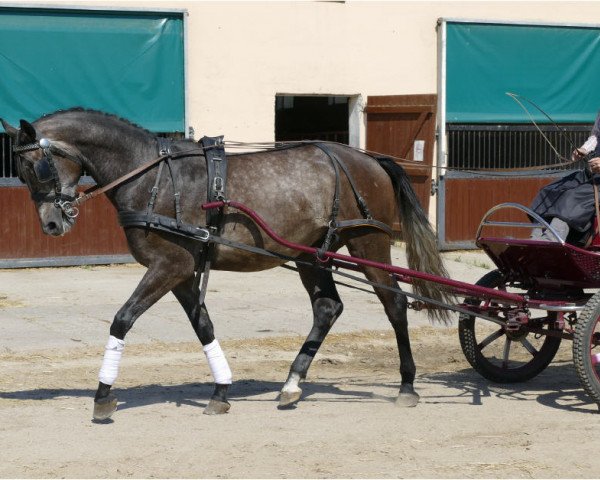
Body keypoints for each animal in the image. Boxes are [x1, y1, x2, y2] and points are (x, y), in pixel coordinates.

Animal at [1, 109, 450, 420]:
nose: (52, 224)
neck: (150, 177)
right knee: (328, 308)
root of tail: (369, 159)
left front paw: (103, 395)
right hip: (311, 254)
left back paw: (407, 384)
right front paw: (220, 390)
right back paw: (292, 384)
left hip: (368, 242)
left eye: (36, 168)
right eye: (21, 173)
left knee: (394, 304)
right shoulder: (182, 272)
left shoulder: (169, 266)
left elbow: (122, 320)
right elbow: (203, 327)